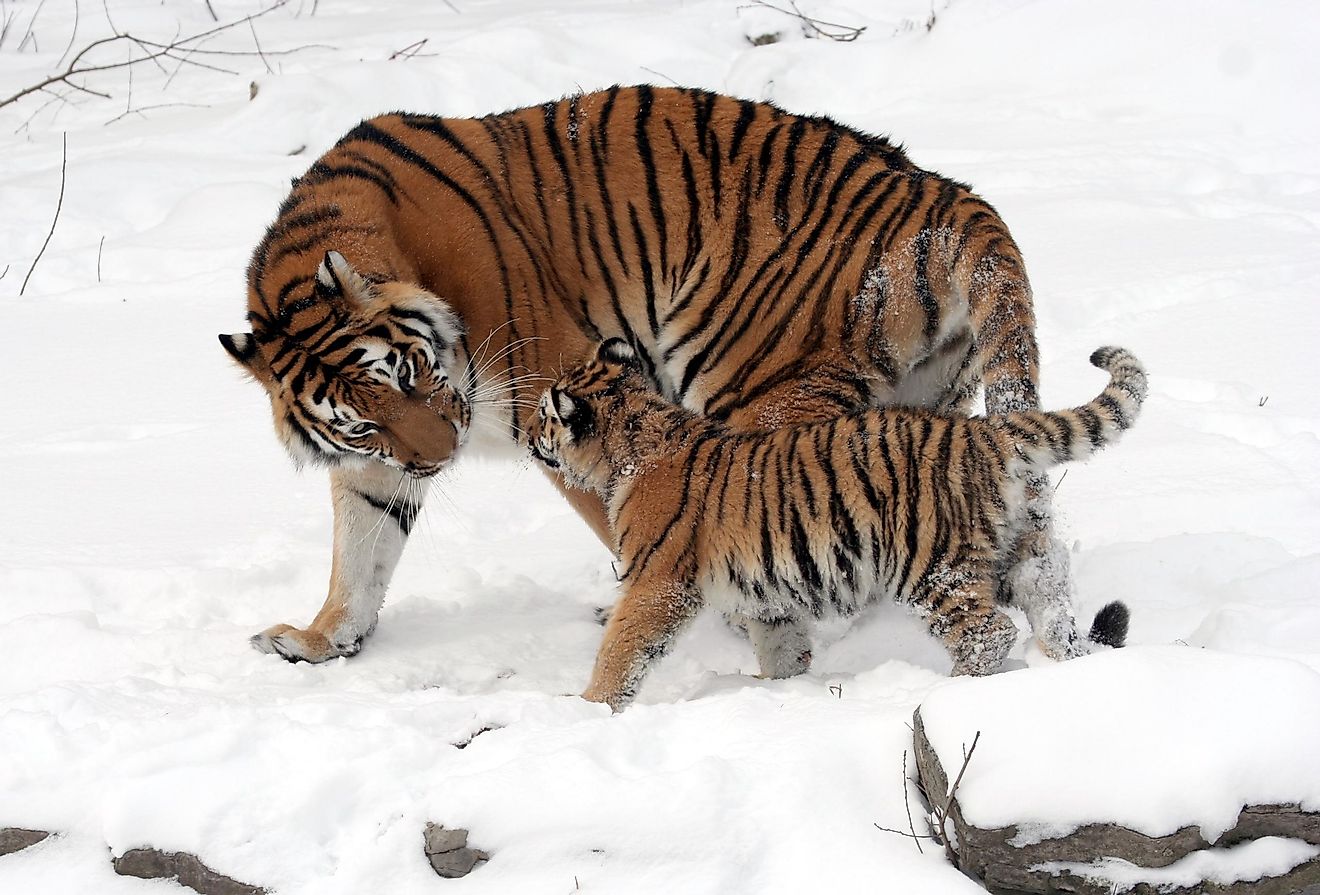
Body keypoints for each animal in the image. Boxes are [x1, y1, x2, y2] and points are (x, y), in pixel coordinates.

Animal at [221, 85, 1092, 665]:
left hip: (757, 387)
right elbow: (360, 547)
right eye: (361, 419)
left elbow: (631, 521)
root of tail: (947, 195)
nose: (440, 457)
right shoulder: (379, 462)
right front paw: (320, 639)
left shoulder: (558, 390)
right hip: (927, 401)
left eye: (406, 371)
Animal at [528, 340, 1145, 712]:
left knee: (988, 632)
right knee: (1053, 609)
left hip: (930, 566)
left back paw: (946, 692)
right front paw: (776, 688)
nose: (528, 436)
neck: (634, 439)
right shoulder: (765, 594)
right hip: (1020, 552)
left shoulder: (657, 582)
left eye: (543, 415)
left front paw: (588, 706)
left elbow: (623, 648)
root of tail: (985, 432)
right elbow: (780, 646)